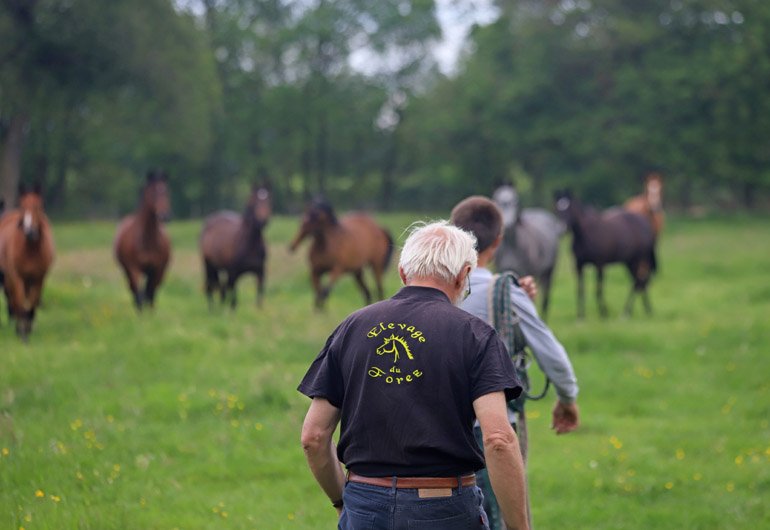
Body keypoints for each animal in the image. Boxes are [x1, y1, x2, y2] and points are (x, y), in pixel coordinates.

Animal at [0, 183, 56, 340]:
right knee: (14, 301)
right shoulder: (17, 278)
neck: (30, 250)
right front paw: (23, 334)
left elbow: (32, 303)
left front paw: (28, 328)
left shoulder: (38, 278)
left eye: (38, 206)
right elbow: (19, 303)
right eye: (22, 206)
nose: (29, 231)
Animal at [114, 169, 172, 311]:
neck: (147, 240)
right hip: (128, 271)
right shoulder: (134, 268)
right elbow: (139, 295)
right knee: (135, 292)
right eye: (153, 192)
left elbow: (150, 295)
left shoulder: (157, 270)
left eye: (167, 191)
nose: (164, 216)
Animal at [493, 182, 566, 320]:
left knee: (545, 297)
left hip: (548, 271)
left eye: (515, 200)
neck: (513, 246)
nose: (508, 226)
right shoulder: (502, 272)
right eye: (497, 200)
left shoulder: (528, 274)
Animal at [554, 189, 657, 319]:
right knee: (640, 282)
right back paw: (645, 310)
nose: (561, 229)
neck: (585, 234)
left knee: (639, 281)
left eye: (570, 207)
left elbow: (598, 289)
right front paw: (580, 316)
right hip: (629, 262)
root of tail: (646, 225)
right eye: (557, 208)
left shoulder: (600, 265)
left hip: (639, 260)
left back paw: (627, 312)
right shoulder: (579, 266)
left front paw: (604, 313)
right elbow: (580, 290)